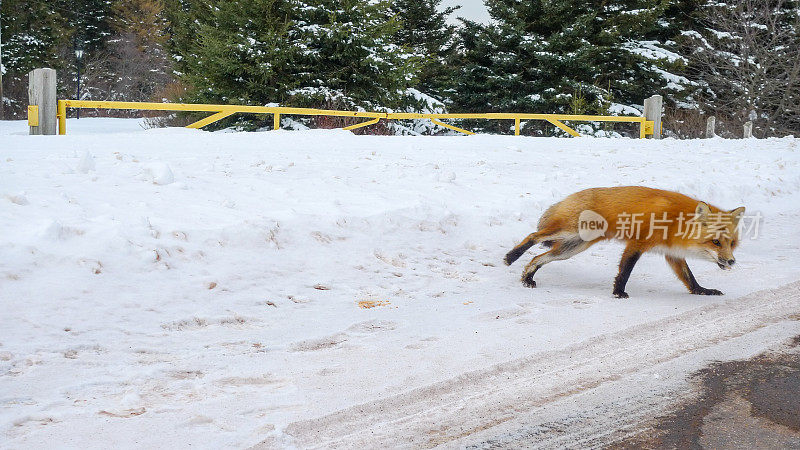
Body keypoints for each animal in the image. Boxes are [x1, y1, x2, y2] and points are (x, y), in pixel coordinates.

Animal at [504, 186, 748, 298]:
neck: (675, 223)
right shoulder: (636, 243)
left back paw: (527, 277)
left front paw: (702, 291)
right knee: (533, 236)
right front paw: (618, 292)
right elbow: (625, 271)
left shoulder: (673, 254)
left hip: (572, 247)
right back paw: (511, 256)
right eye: (716, 242)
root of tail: (571, 196)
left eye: (732, 244)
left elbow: (690, 278)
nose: (731, 261)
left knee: (538, 258)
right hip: (569, 232)